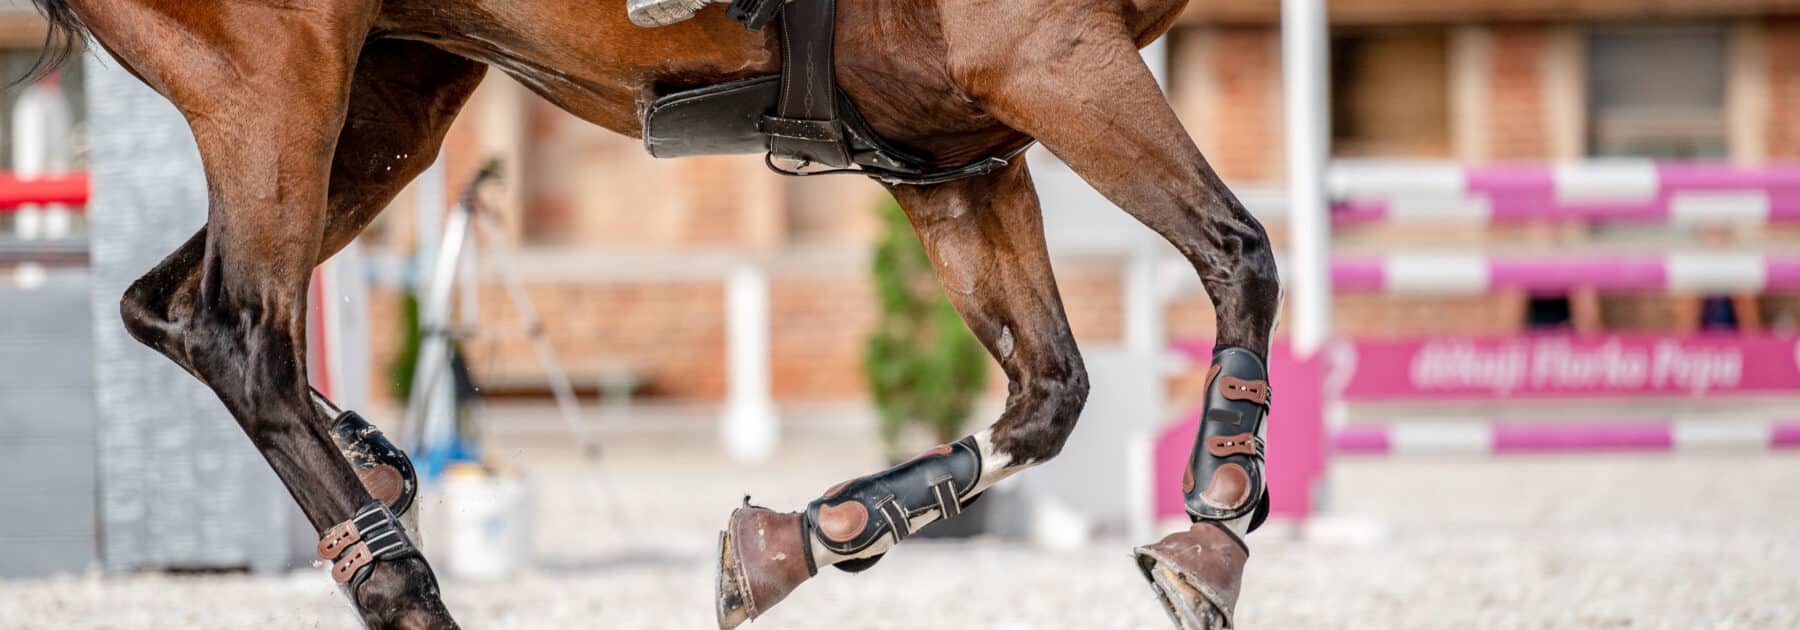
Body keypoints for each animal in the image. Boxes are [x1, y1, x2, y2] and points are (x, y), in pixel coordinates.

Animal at [28, 0, 1281, 626]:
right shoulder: (1046, 55)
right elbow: (1242, 256)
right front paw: (1214, 534)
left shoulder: (962, 152)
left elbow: (1050, 395)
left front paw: (808, 539)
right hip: (274, 76)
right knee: (240, 335)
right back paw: (400, 586)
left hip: (384, 99)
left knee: (168, 308)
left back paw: (371, 464)